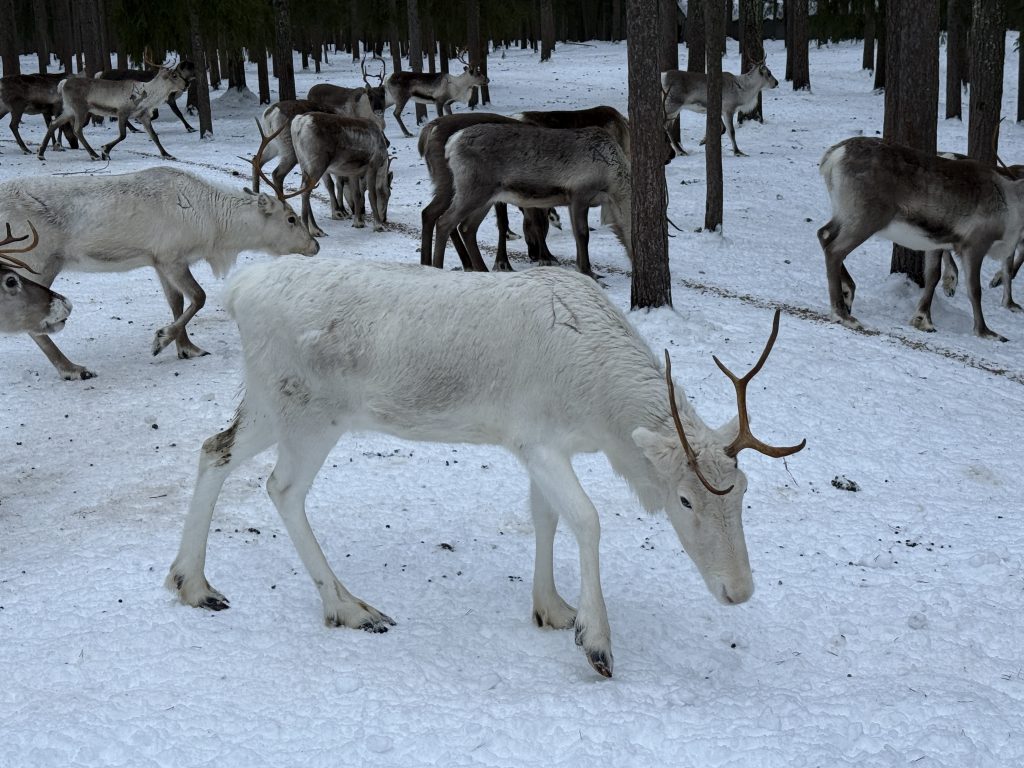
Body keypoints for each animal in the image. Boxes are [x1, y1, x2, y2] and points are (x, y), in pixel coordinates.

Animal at [0, 168, 319, 379]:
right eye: (291, 218)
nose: (315, 246)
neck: (215, 226)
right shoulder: (171, 256)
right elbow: (199, 297)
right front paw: (161, 340)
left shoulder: (159, 261)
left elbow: (176, 302)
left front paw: (187, 348)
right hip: (37, 261)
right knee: (33, 322)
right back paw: (72, 369)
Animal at [37, 61, 188, 161]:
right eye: (174, 75)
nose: (187, 84)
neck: (148, 96)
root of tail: (63, 84)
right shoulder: (122, 112)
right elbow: (123, 135)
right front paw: (105, 151)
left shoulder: (143, 115)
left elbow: (154, 136)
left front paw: (167, 154)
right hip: (80, 108)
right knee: (77, 130)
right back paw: (94, 155)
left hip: (69, 110)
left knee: (54, 123)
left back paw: (41, 154)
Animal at [165, 256, 806, 678]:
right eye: (685, 499)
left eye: (742, 491)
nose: (738, 592)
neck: (600, 411)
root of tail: (238, 290)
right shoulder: (535, 439)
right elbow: (588, 519)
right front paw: (595, 640)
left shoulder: (540, 446)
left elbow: (546, 516)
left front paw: (552, 609)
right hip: (310, 413)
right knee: (283, 488)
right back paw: (350, 607)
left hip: (268, 402)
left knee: (214, 448)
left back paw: (192, 583)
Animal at [432, 122, 631, 278]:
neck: (612, 184)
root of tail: (452, 143)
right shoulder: (580, 194)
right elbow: (583, 234)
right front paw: (588, 271)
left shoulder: (571, 201)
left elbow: (576, 235)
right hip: (472, 190)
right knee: (444, 222)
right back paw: (436, 267)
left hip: (486, 198)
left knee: (467, 228)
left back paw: (483, 270)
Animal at [818, 136, 1024, 341]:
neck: (1011, 205)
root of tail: (834, 155)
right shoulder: (974, 245)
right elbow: (975, 290)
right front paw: (986, 331)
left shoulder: (935, 242)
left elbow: (932, 276)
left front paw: (923, 320)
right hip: (866, 217)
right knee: (835, 250)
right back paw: (842, 314)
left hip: (845, 214)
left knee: (823, 234)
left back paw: (847, 293)